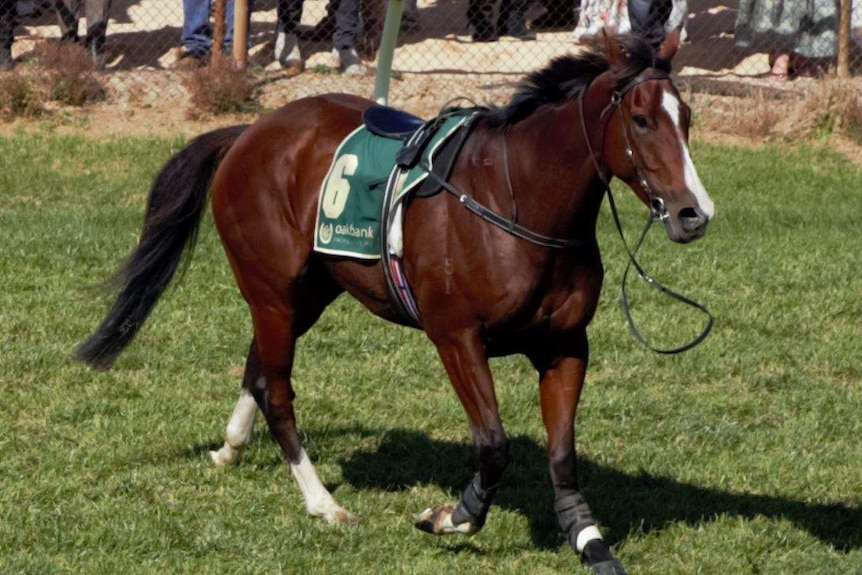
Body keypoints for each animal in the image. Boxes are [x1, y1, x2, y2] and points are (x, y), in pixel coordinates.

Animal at [77, 35, 716, 575]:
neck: (517, 199)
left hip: (307, 293)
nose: (694, 213)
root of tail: (250, 130)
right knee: (277, 392)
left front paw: (589, 540)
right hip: (273, 293)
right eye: (641, 120)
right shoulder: (457, 338)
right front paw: (453, 516)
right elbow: (494, 444)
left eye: (686, 119)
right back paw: (322, 502)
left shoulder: (564, 346)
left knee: (258, 370)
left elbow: (562, 455)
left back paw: (231, 449)